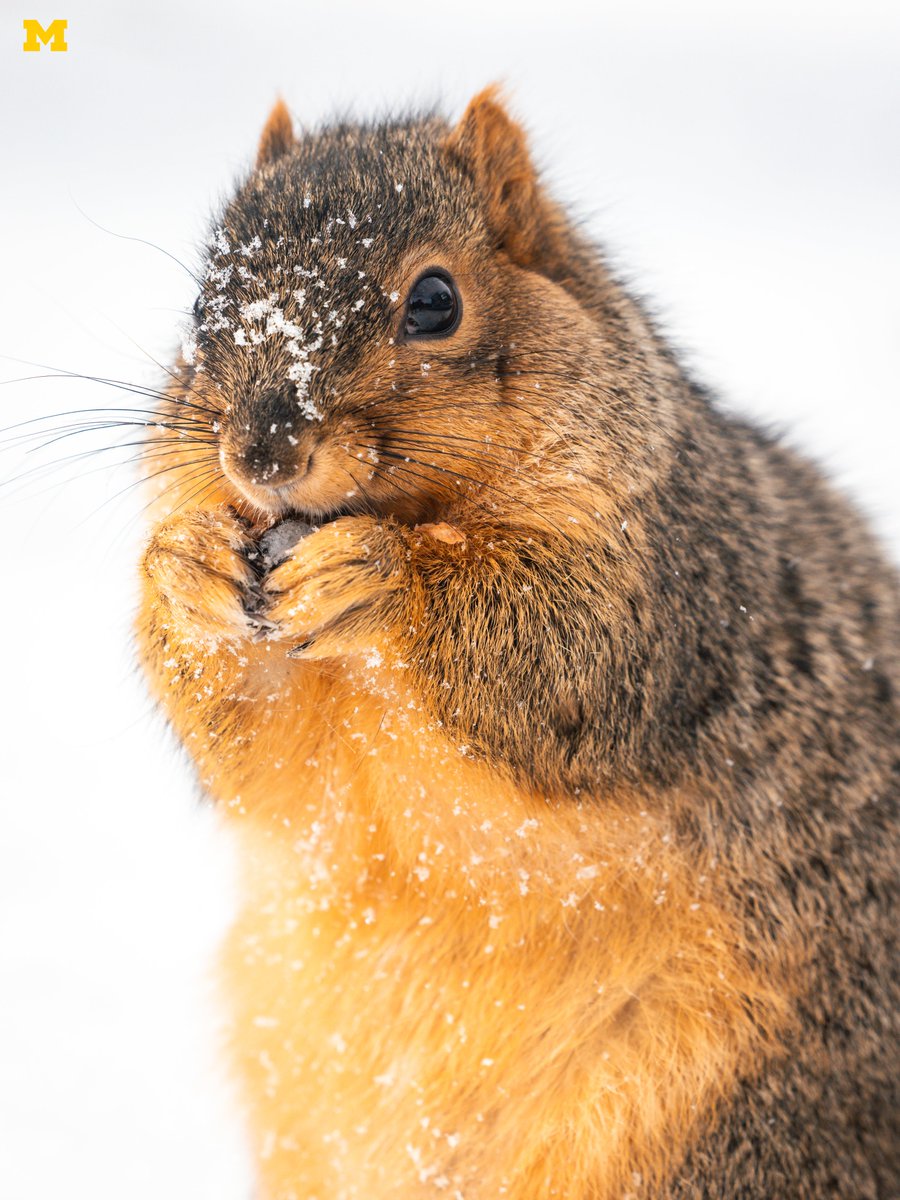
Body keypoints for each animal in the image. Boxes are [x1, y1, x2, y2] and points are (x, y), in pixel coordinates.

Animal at [136, 89, 899, 1199]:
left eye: (435, 302)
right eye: (200, 309)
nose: (262, 452)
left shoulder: (671, 585)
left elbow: (572, 661)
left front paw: (380, 576)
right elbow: (267, 767)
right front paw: (179, 569)